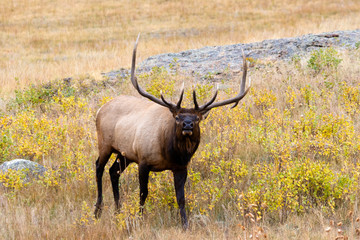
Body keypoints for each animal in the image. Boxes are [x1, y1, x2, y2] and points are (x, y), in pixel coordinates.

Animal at [93, 34, 250, 229]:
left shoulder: (181, 167)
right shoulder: (143, 160)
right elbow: (143, 193)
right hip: (105, 143)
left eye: (197, 118)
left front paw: (185, 224)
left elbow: (181, 198)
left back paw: (118, 210)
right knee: (99, 167)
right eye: (177, 117)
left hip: (125, 153)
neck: (170, 152)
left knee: (113, 172)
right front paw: (139, 219)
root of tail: (100, 109)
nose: (187, 125)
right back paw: (98, 210)